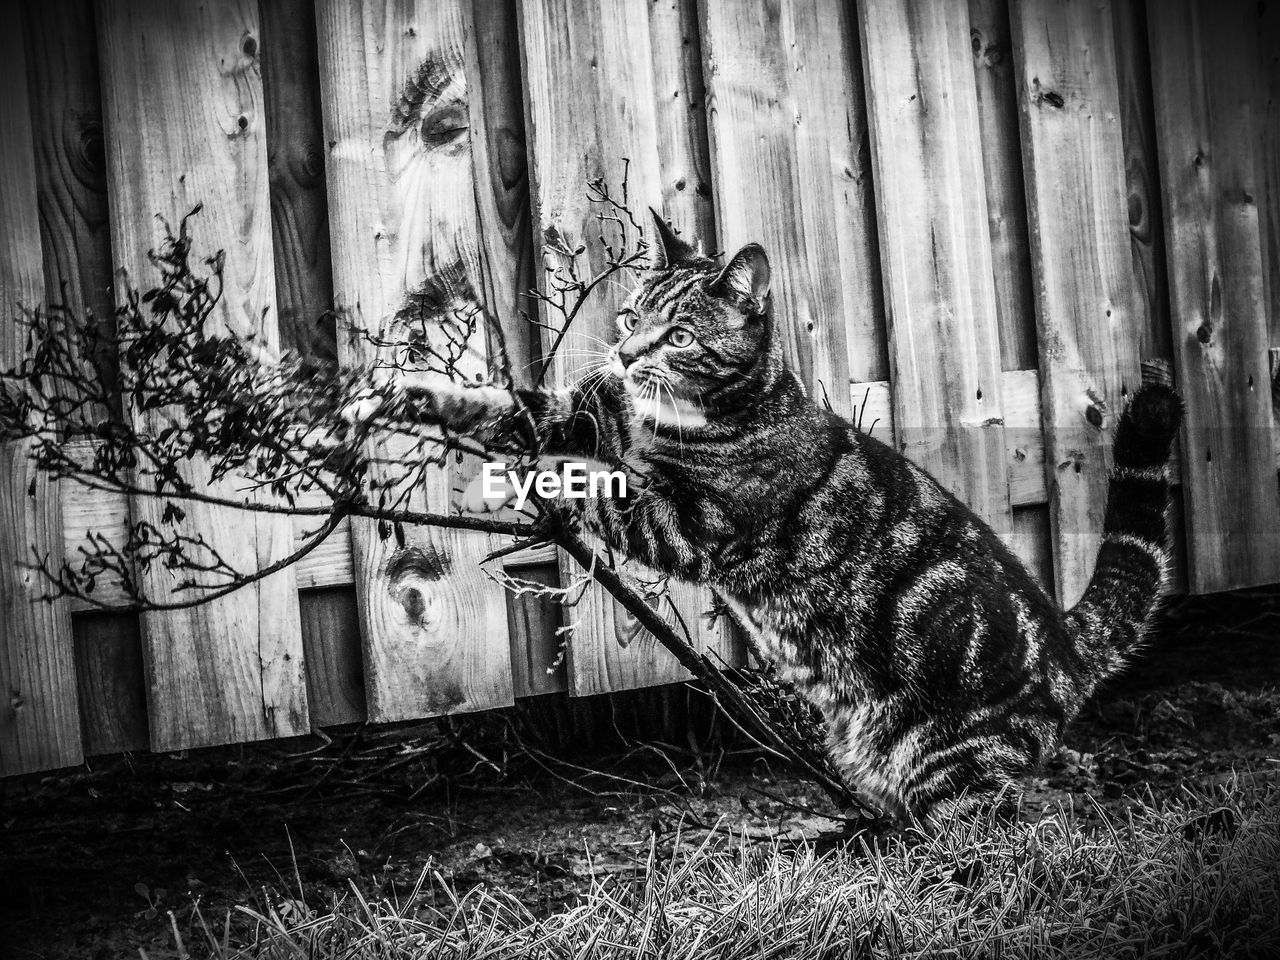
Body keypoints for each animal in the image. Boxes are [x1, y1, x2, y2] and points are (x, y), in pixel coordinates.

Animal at [368, 213, 1177, 829]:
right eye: (631, 318)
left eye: (680, 337)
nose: (625, 354)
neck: (686, 419)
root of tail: (1067, 645)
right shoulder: (598, 418)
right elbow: (519, 407)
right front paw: (411, 397)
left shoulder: (690, 525)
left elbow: (598, 489)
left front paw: (532, 481)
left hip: (956, 766)